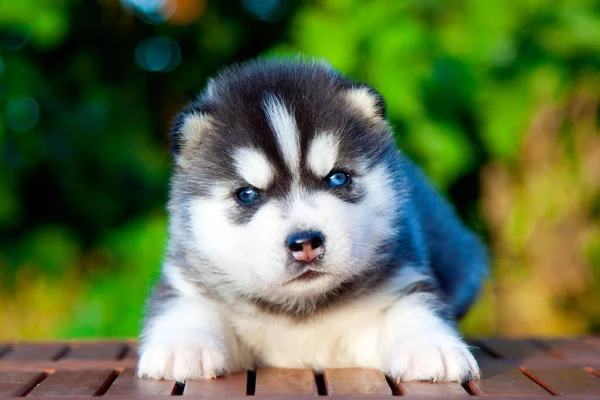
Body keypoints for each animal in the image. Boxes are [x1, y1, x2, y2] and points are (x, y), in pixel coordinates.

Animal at [139, 57, 488, 382]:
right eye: (247, 194)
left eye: (337, 178)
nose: (305, 242)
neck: (302, 309)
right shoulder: (187, 281)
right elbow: (187, 307)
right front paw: (184, 346)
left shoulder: (403, 277)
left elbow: (414, 309)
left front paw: (431, 347)